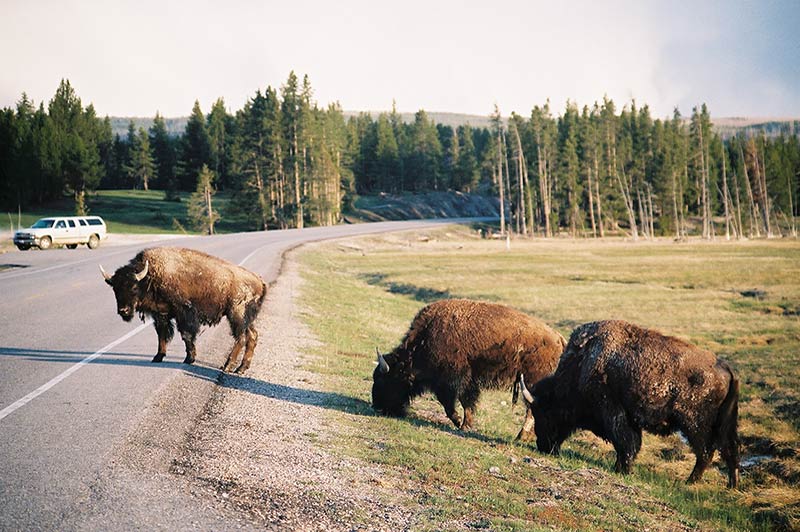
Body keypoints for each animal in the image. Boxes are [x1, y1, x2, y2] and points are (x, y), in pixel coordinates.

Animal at [101, 246, 266, 374]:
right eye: (115, 289)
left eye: (134, 287)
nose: (123, 310)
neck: (150, 277)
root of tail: (259, 281)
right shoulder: (161, 315)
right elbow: (162, 335)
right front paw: (158, 357)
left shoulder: (183, 313)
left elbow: (186, 335)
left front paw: (189, 358)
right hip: (246, 319)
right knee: (252, 336)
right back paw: (241, 368)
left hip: (236, 315)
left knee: (241, 338)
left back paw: (228, 366)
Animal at [374, 298, 564, 438]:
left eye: (387, 380)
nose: (378, 407)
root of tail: (558, 339)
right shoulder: (467, 381)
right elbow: (465, 402)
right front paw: (466, 423)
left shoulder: (453, 380)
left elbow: (453, 403)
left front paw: (461, 423)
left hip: (531, 382)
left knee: (531, 409)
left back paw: (521, 436)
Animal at [520, 318, 740, 488]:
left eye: (545, 414)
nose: (543, 446)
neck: (583, 364)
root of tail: (727, 369)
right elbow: (631, 443)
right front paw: (622, 468)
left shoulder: (614, 413)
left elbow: (625, 443)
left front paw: (622, 469)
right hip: (723, 424)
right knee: (728, 450)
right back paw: (731, 485)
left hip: (695, 424)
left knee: (706, 451)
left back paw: (690, 482)